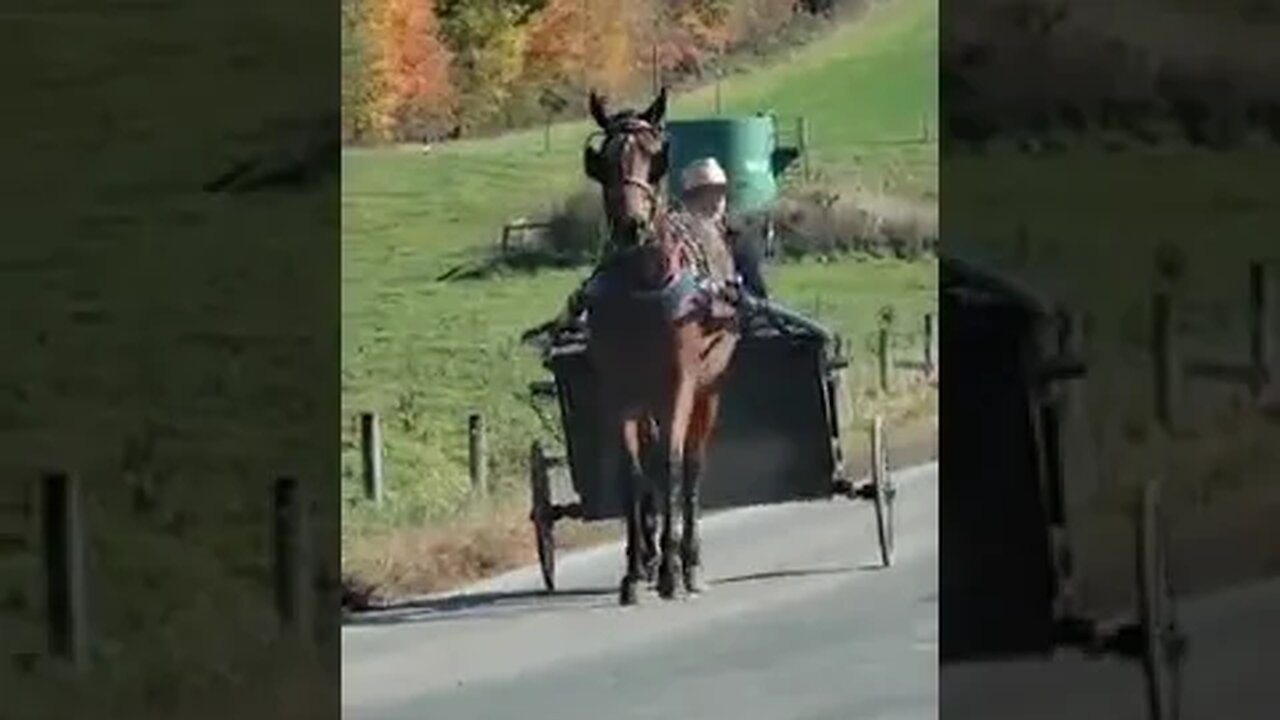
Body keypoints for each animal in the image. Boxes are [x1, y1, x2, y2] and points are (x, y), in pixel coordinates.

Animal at [581, 90, 742, 604]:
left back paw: (688, 561)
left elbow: (671, 466)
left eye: (654, 159)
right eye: (604, 161)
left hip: (708, 390)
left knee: (690, 466)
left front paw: (673, 568)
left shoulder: (679, 382)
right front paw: (634, 570)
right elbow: (633, 472)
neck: (642, 284)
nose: (631, 225)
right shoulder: (618, 389)